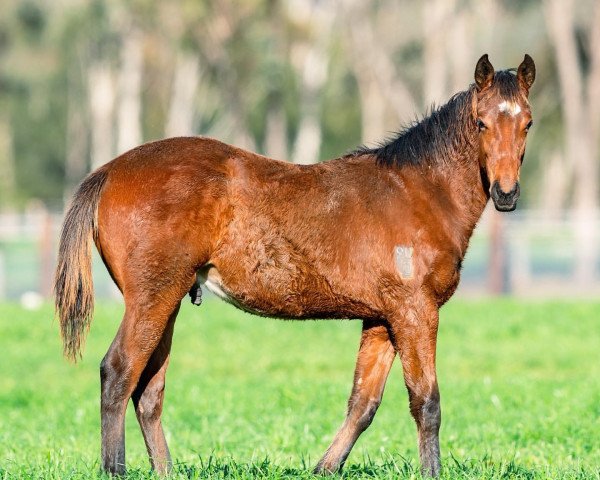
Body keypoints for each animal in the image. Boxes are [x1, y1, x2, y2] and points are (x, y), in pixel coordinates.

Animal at [55, 53, 536, 476]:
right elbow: (426, 402)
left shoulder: (382, 319)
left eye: (527, 123)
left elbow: (363, 404)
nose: (506, 193)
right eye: (481, 122)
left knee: (149, 391)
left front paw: (324, 468)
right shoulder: (416, 312)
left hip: (168, 300)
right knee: (118, 373)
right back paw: (115, 469)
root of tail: (109, 171)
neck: (416, 191)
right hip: (152, 298)